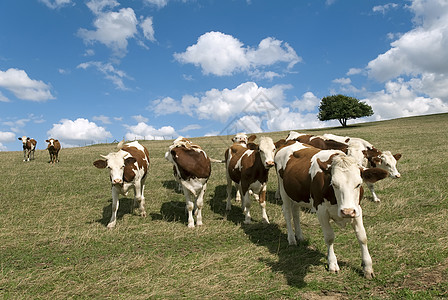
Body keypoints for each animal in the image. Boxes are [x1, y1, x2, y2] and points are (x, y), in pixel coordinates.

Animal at [274, 142, 386, 280]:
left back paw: (299, 236)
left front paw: (368, 267)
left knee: (295, 213)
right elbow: (329, 237)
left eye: (358, 184)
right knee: (287, 212)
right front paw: (332, 263)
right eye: (334, 184)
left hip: (296, 195)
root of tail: (289, 142)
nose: (347, 212)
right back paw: (292, 239)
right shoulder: (321, 211)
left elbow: (362, 237)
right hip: (284, 191)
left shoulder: (357, 209)